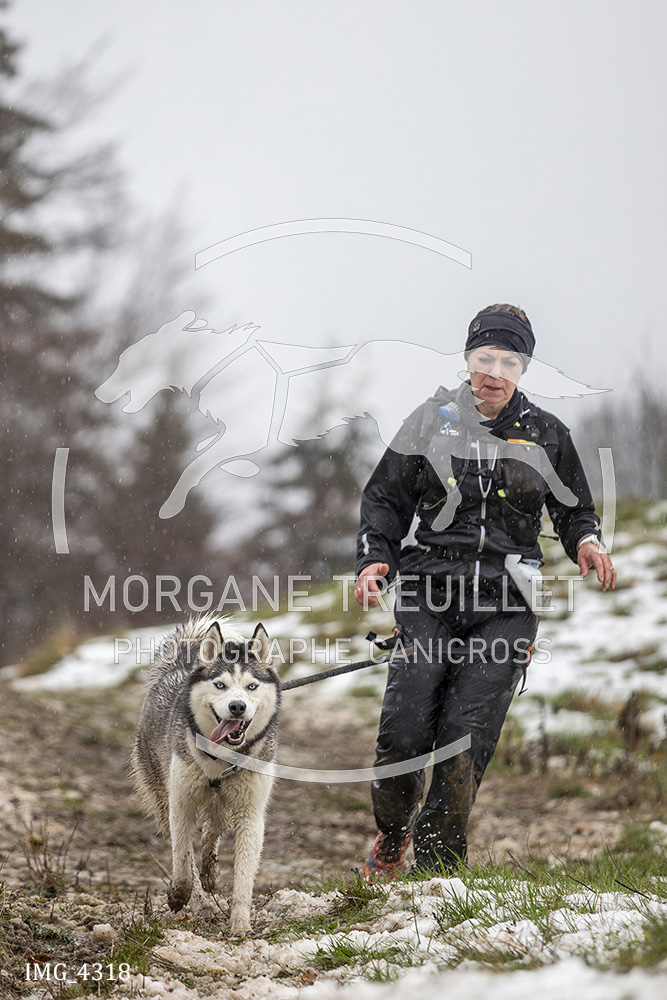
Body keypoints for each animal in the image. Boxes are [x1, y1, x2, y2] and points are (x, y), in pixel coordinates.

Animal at [129, 615, 280, 935]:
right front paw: (180, 895)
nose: (237, 706)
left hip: (222, 802)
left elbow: (244, 874)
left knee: (213, 830)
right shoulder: (180, 804)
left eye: (251, 686)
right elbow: (183, 863)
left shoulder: (251, 812)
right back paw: (201, 900)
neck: (221, 756)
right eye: (220, 684)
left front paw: (240, 924)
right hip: (161, 792)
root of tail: (178, 666)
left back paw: (210, 872)